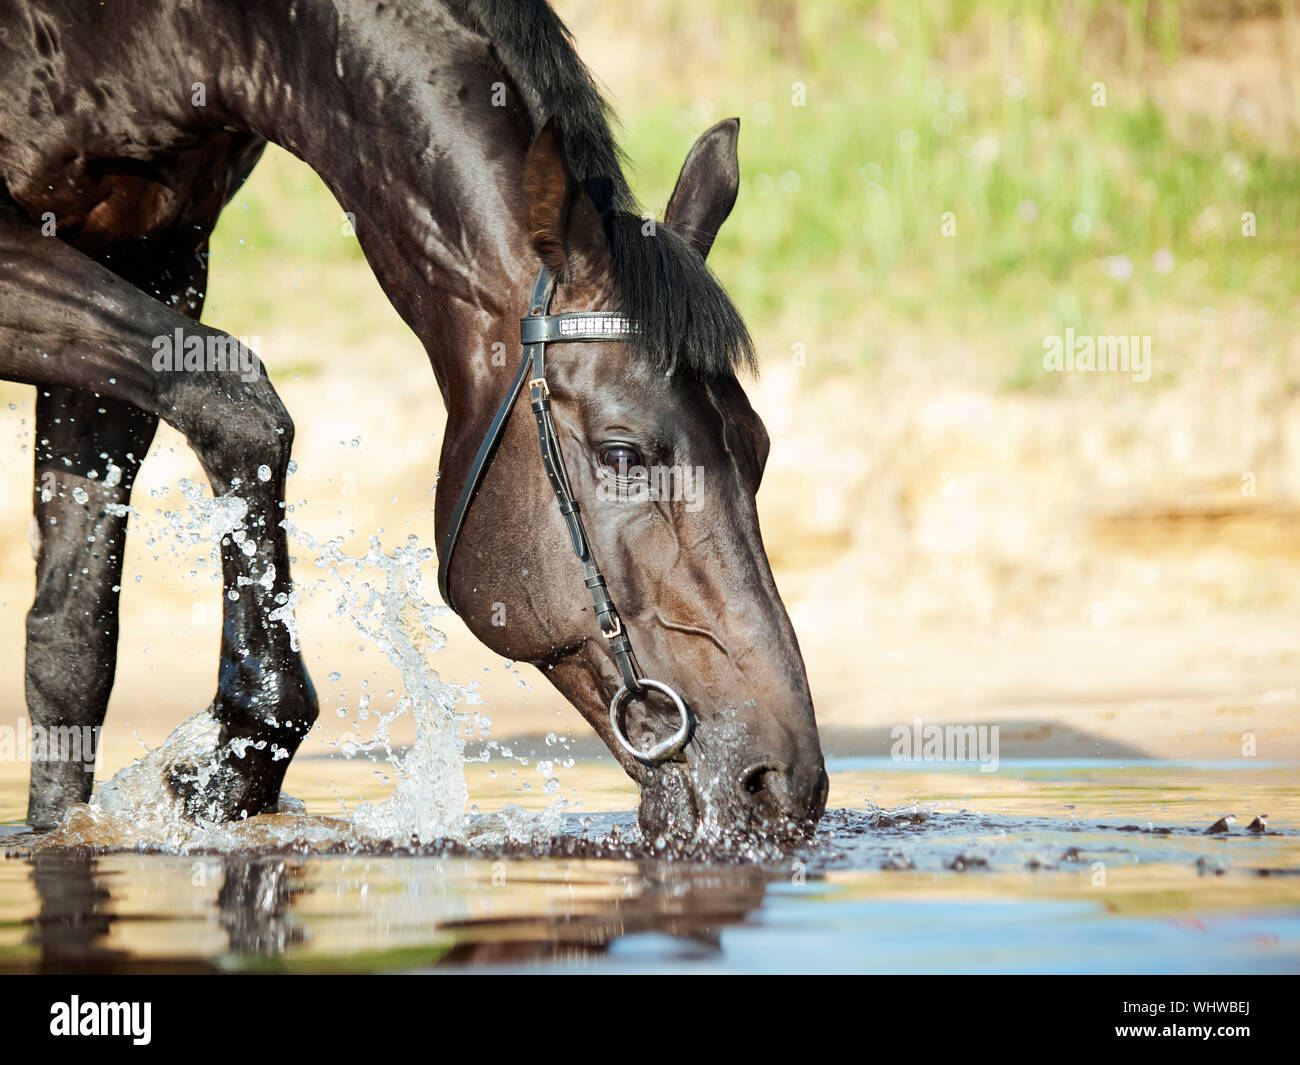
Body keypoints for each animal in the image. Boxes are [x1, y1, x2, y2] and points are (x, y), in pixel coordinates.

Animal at [0, 0, 828, 841]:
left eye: (759, 449)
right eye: (623, 455)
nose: (784, 784)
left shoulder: (155, 262)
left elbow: (69, 646)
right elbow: (242, 407)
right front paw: (232, 754)